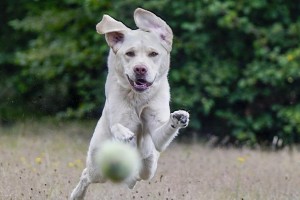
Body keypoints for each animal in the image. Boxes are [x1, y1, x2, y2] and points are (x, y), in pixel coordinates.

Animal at [69, 8, 190, 200]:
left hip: (149, 165)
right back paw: (77, 195)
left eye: (153, 54)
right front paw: (124, 133)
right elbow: (117, 126)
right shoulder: (120, 117)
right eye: (130, 53)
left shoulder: (157, 136)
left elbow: (162, 131)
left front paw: (179, 117)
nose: (140, 68)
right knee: (86, 174)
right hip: (98, 168)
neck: (138, 98)